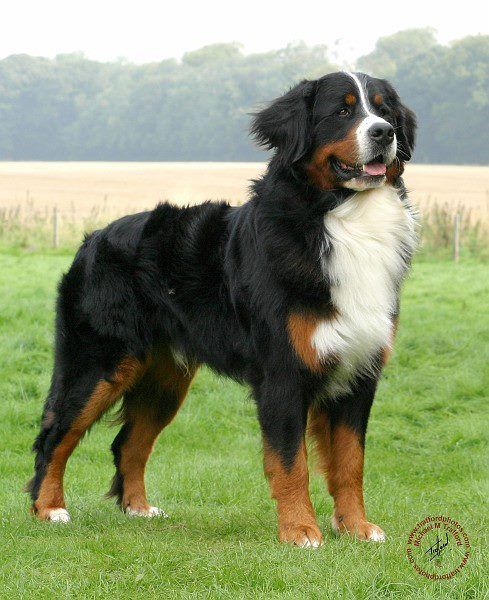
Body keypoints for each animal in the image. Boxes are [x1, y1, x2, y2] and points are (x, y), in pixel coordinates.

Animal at [27, 71, 416, 548]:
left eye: (383, 109)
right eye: (342, 111)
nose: (384, 133)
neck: (343, 219)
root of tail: (93, 238)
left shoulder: (358, 372)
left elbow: (349, 463)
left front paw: (358, 528)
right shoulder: (283, 373)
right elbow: (291, 463)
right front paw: (301, 531)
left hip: (165, 379)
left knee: (128, 443)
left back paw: (139, 509)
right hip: (98, 364)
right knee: (53, 436)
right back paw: (50, 509)